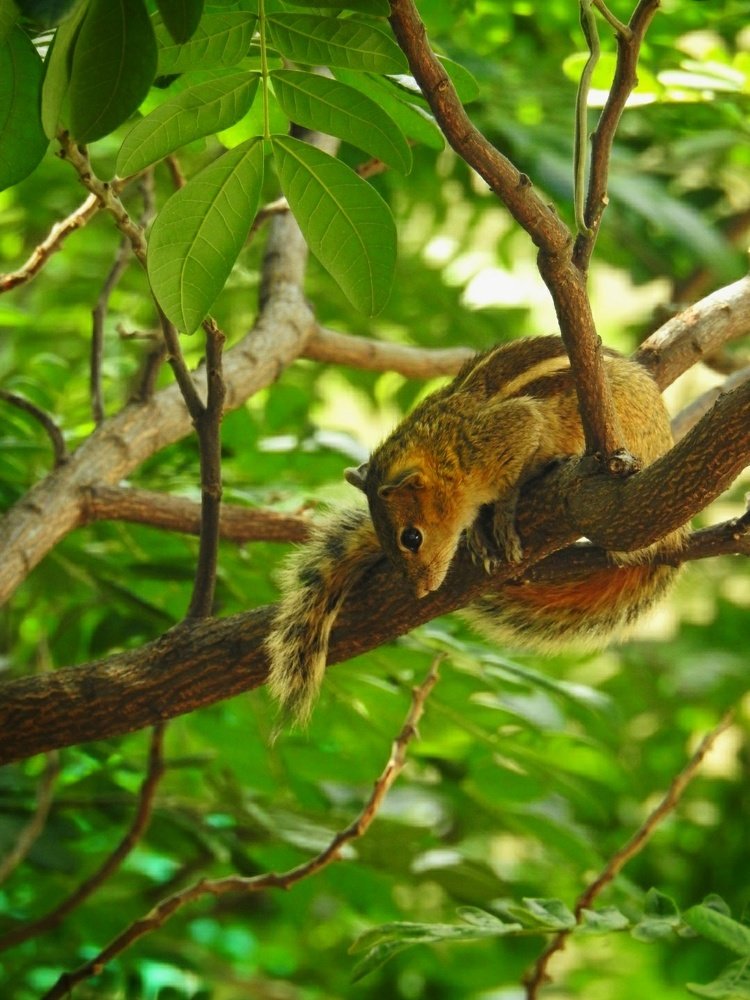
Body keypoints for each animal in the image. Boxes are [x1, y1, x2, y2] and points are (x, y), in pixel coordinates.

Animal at [266, 335, 687, 725]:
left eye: (411, 537)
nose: (420, 591)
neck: (447, 452)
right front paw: (477, 536)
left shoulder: (515, 428)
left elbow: (513, 479)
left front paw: (501, 514)